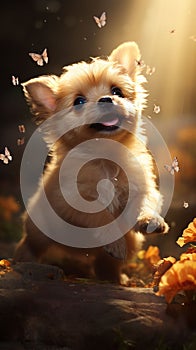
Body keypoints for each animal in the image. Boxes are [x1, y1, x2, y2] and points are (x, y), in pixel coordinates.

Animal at [14, 41, 169, 282]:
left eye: (116, 91)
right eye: (78, 102)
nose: (106, 99)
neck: (106, 157)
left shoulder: (141, 188)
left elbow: (144, 204)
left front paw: (150, 220)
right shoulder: (76, 202)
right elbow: (102, 217)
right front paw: (114, 240)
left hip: (130, 244)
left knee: (106, 263)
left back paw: (115, 278)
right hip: (38, 231)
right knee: (30, 244)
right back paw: (23, 262)